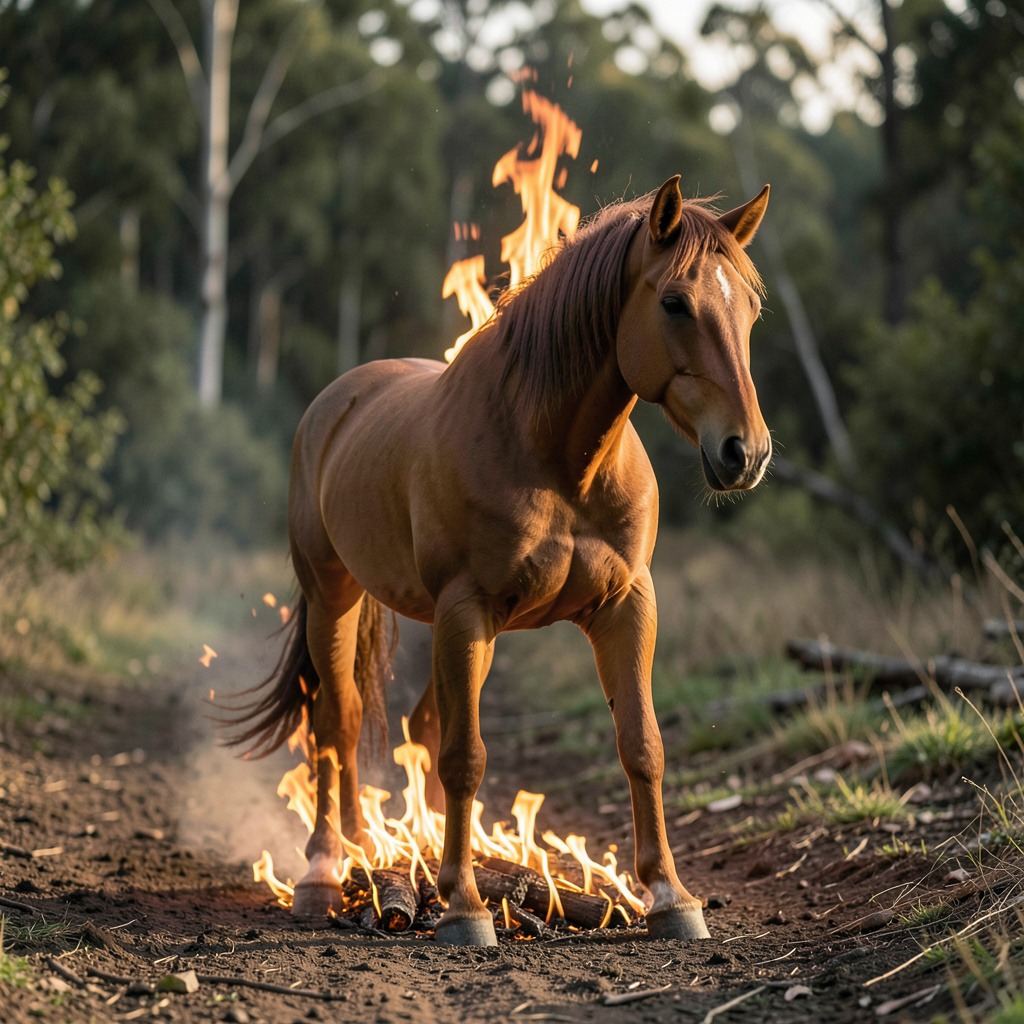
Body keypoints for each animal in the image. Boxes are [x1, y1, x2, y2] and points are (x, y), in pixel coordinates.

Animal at [227, 175, 771, 946]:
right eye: (673, 302)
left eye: (749, 307)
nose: (744, 453)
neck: (556, 458)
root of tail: (337, 403)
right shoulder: (468, 606)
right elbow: (466, 757)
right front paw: (463, 907)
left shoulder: (626, 605)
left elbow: (642, 744)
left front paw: (671, 897)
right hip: (335, 597)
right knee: (336, 726)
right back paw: (326, 873)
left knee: (410, 725)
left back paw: (381, 852)